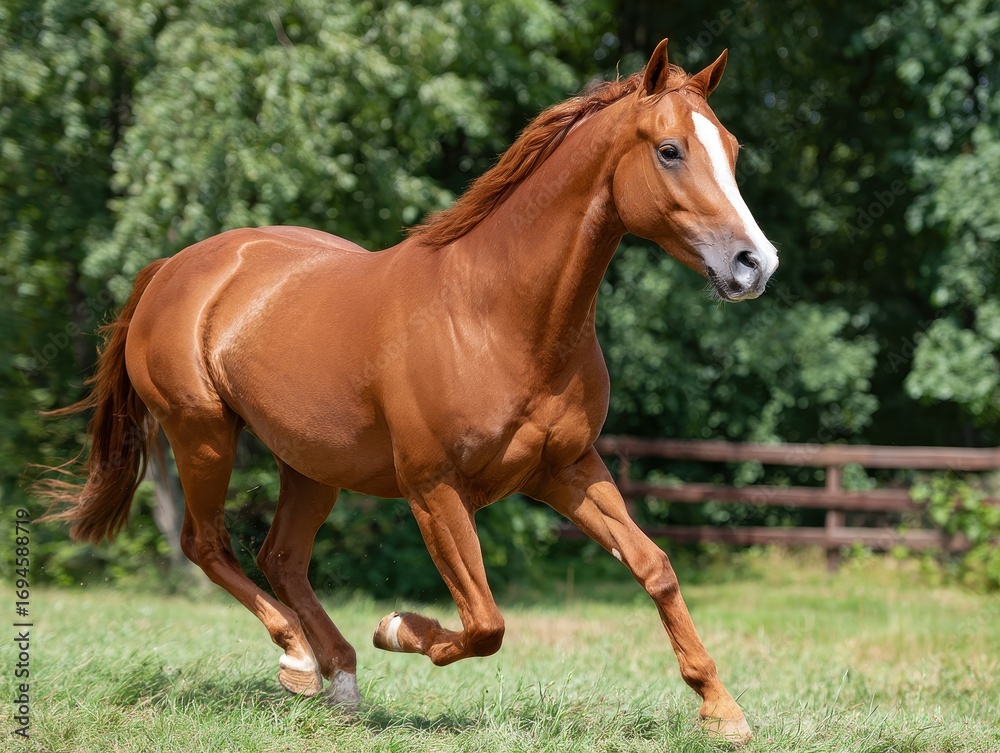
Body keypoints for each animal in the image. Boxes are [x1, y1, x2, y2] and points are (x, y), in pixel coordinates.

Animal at [40, 39, 777, 745]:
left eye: (733, 149)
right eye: (670, 149)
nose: (755, 263)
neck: (498, 315)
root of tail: (174, 267)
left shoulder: (566, 469)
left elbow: (654, 566)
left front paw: (723, 712)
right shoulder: (433, 487)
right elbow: (484, 623)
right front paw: (395, 627)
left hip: (311, 465)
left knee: (281, 556)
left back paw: (339, 680)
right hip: (203, 437)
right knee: (207, 544)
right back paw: (299, 660)